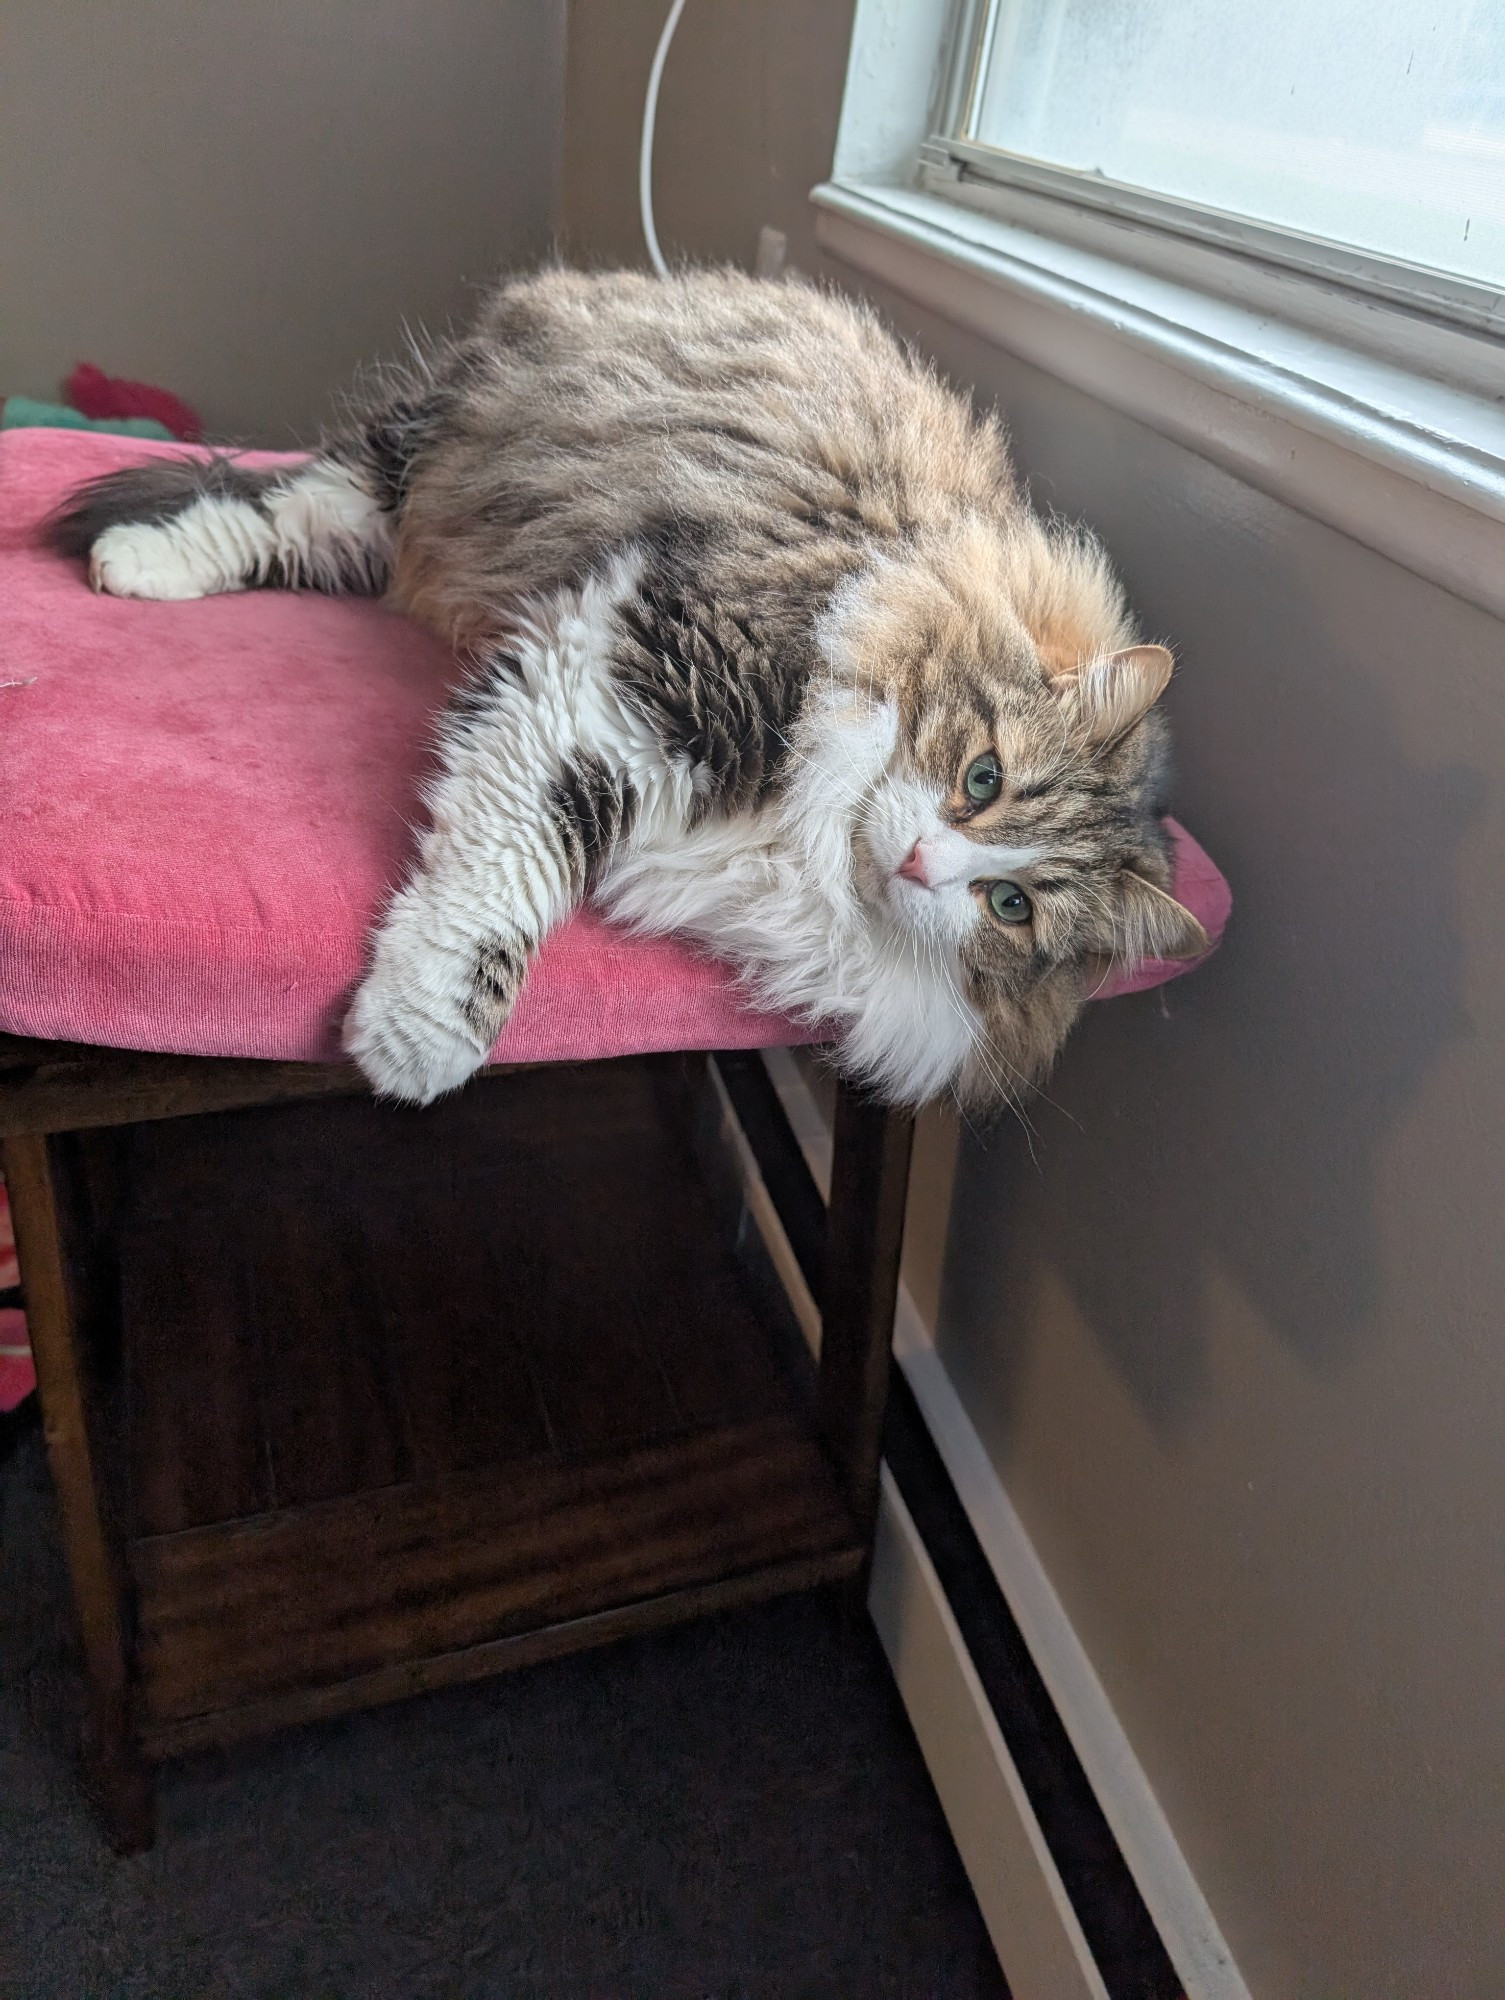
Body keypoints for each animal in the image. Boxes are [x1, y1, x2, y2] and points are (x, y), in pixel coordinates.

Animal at [47, 266, 1208, 1112]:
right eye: (981, 776)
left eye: (1011, 906)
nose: (923, 862)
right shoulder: (638, 670)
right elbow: (510, 866)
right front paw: (422, 1036)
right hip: (417, 465)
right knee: (279, 505)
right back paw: (136, 561)